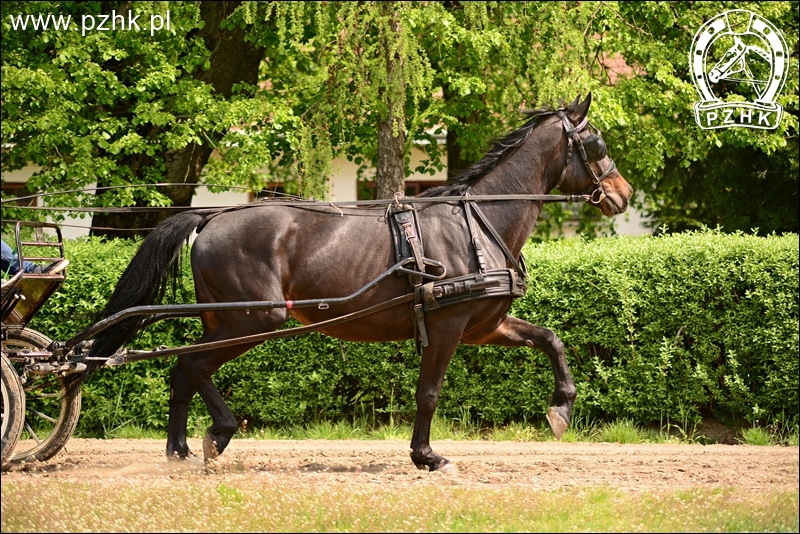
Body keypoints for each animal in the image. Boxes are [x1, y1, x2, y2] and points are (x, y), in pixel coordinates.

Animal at [87, 94, 632, 472]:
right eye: (597, 143)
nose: (623, 194)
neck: (477, 223)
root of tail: (212, 214)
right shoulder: (449, 323)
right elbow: (429, 392)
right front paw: (427, 456)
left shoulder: (483, 325)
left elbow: (550, 339)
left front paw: (560, 408)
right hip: (256, 319)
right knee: (193, 367)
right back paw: (217, 433)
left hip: (225, 321)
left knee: (182, 372)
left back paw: (179, 451)